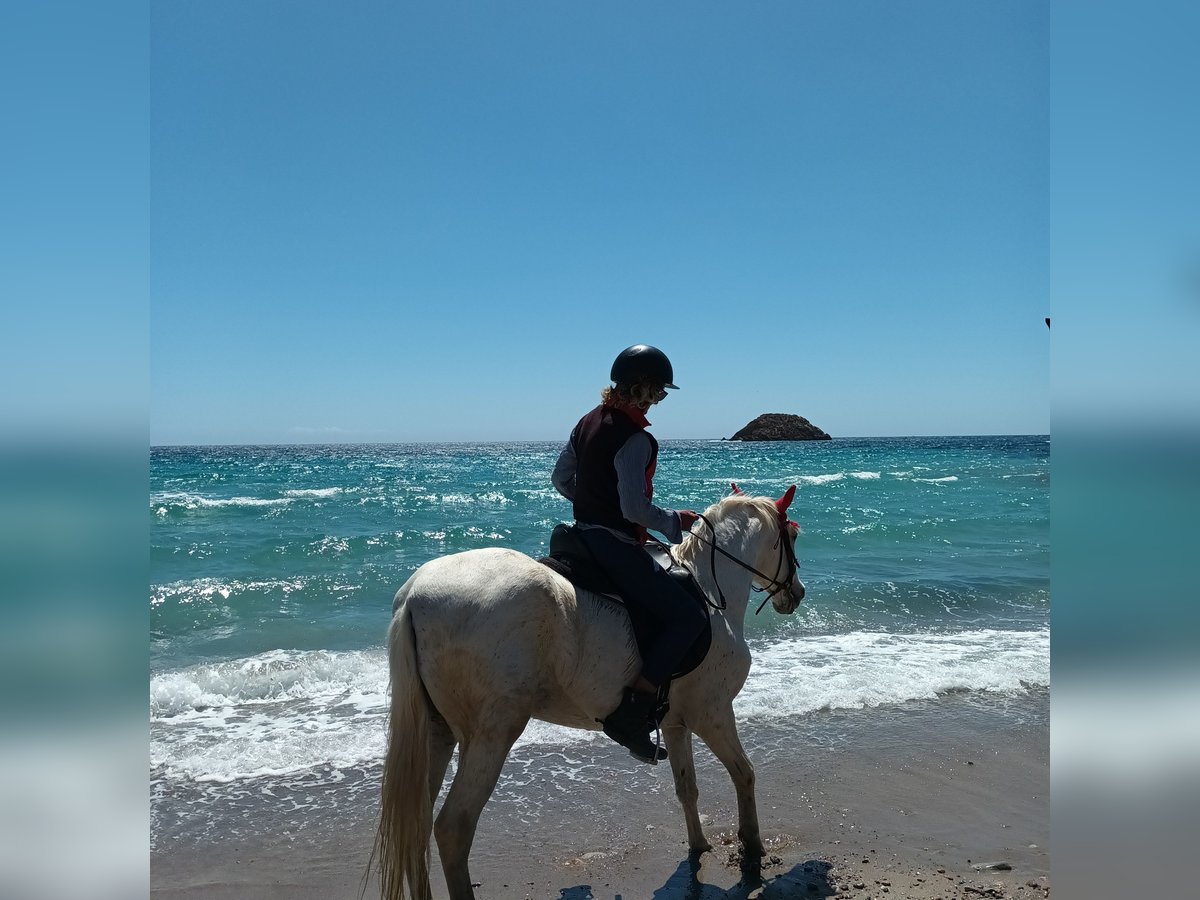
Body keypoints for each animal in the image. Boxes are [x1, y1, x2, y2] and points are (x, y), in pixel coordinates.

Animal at [374, 489, 806, 897]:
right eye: (794, 535)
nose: (797, 593)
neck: (709, 588)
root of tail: (414, 596)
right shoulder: (713, 715)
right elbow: (744, 774)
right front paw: (752, 849)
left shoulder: (676, 724)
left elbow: (687, 788)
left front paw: (699, 846)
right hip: (491, 735)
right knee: (454, 828)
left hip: (437, 733)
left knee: (416, 822)